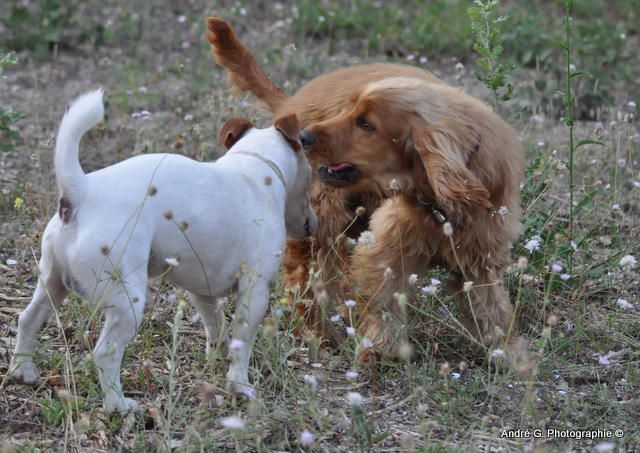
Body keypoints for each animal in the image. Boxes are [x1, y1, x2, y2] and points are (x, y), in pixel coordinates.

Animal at [8, 90, 318, 412]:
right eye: (312, 175)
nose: (313, 222)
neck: (256, 168)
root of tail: (81, 191)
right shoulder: (254, 290)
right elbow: (241, 342)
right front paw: (240, 387)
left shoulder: (202, 293)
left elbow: (216, 328)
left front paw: (215, 360)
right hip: (127, 302)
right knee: (105, 352)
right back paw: (119, 405)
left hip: (52, 284)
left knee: (28, 319)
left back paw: (22, 370)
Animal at [208, 15, 528, 366]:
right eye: (348, 112)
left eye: (365, 123)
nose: (304, 136)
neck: (437, 202)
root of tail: (291, 104)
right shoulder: (386, 248)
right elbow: (383, 302)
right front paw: (383, 347)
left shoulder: (481, 257)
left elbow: (492, 308)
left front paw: (509, 354)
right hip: (323, 221)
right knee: (305, 281)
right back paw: (322, 334)